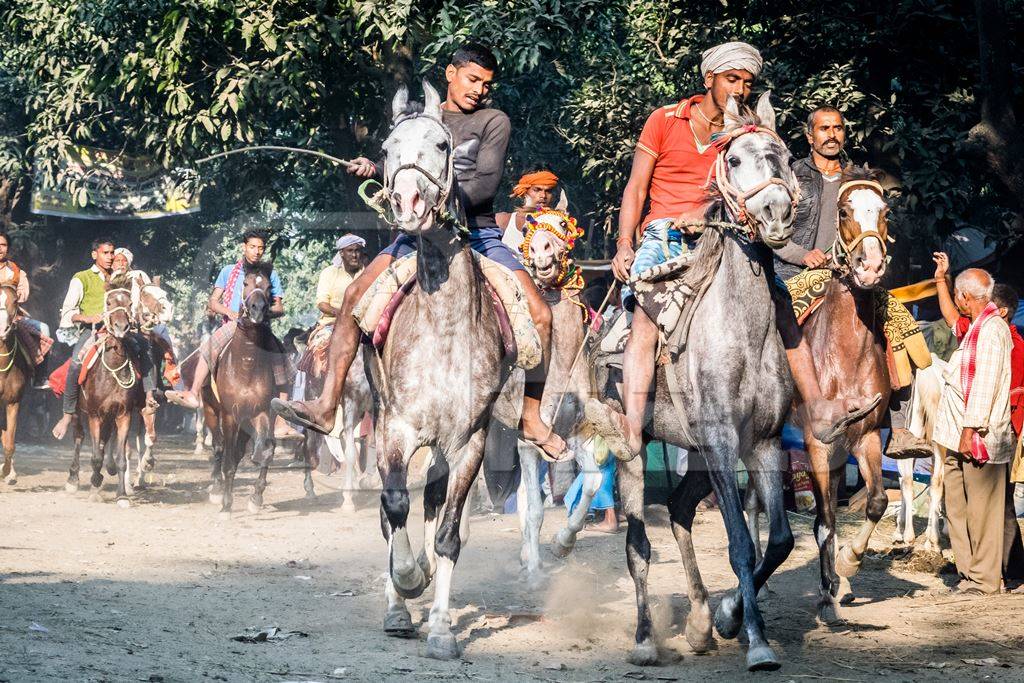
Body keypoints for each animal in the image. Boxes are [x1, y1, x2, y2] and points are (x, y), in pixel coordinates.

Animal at [66, 276, 146, 507]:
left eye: (129, 303)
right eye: (109, 303)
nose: (121, 327)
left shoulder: (123, 414)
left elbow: (120, 458)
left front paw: (122, 495)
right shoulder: (94, 414)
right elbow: (94, 456)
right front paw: (94, 482)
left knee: (105, 440)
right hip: (78, 413)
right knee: (79, 437)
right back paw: (74, 479)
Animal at [204, 262, 278, 511]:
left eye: (269, 286)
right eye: (245, 283)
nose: (257, 309)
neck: (246, 366)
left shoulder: (260, 412)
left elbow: (265, 449)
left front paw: (256, 497)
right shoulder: (230, 415)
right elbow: (228, 458)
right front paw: (226, 506)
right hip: (210, 410)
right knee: (219, 447)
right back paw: (217, 488)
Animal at [589, 94, 802, 671]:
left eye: (785, 157)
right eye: (736, 159)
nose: (776, 213)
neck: (741, 333)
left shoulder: (763, 444)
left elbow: (778, 540)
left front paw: (730, 615)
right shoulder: (723, 441)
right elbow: (741, 544)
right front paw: (756, 642)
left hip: (697, 455)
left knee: (681, 510)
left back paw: (703, 622)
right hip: (636, 447)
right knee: (638, 545)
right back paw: (645, 639)